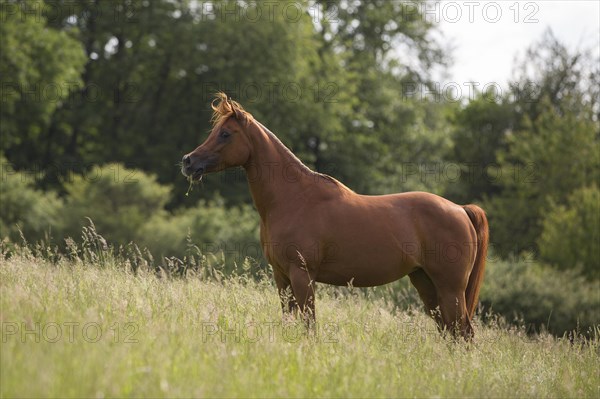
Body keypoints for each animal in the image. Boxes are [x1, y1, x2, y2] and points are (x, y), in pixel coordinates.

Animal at [182, 94, 488, 340]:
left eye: (226, 134)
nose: (188, 161)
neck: (293, 200)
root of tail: (460, 209)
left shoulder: (302, 275)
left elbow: (309, 325)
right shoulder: (281, 277)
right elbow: (289, 322)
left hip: (450, 288)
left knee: (463, 333)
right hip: (425, 283)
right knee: (450, 332)